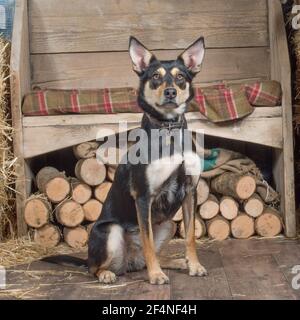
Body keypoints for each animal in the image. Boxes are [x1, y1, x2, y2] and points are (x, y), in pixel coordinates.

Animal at [86, 36, 207, 284]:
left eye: (180, 77)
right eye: (155, 77)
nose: (170, 92)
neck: (169, 130)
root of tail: (129, 262)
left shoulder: (190, 191)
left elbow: (190, 236)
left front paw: (194, 265)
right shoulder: (144, 196)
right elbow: (147, 239)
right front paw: (156, 275)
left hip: (168, 224)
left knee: (144, 257)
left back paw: (176, 262)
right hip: (109, 231)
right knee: (93, 267)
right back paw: (107, 274)